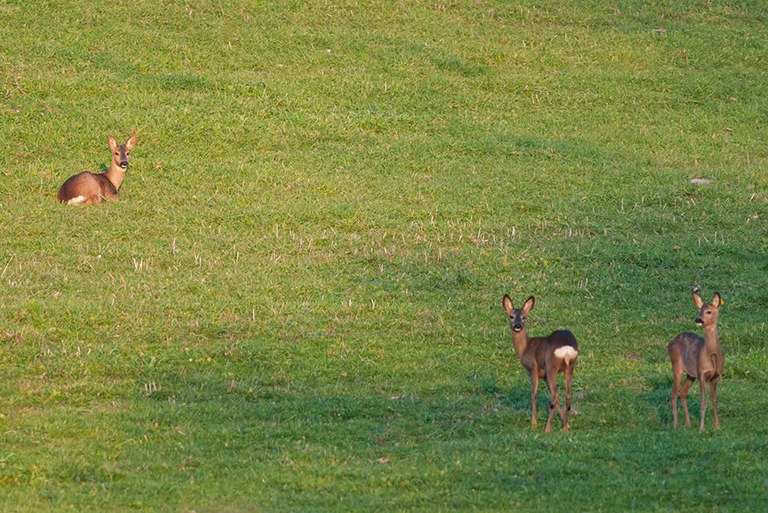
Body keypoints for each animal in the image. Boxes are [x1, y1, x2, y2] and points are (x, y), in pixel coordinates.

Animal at [504, 294, 576, 430]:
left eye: (524, 317)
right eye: (511, 316)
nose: (517, 326)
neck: (524, 348)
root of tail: (566, 348)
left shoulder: (533, 369)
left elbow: (534, 394)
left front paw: (533, 422)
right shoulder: (545, 376)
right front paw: (566, 424)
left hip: (551, 366)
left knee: (555, 395)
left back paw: (547, 429)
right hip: (570, 366)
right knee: (566, 395)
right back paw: (564, 428)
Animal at [664, 286, 728, 430]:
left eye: (709, 311)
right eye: (699, 310)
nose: (698, 319)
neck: (711, 354)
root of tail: (670, 342)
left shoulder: (715, 376)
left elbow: (715, 401)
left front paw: (717, 426)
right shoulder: (702, 374)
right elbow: (703, 403)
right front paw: (701, 429)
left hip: (690, 375)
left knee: (682, 392)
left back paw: (688, 423)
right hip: (676, 367)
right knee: (673, 394)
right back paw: (676, 425)